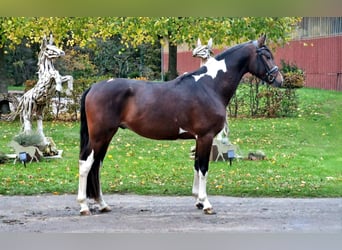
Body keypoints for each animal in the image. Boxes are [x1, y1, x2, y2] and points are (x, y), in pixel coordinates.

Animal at [77, 34, 284, 216]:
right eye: (266, 56)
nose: (280, 80)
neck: (209, 86)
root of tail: (93, 87)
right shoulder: (206, 136)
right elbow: (203, 168)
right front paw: (206, 203)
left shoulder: (198, 138)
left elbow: (196, 166)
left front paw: (198, 201)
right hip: (100, 136)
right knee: (86, 164)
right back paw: (84, 206)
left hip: (106, 136)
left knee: (96, 166)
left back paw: (102, 204)